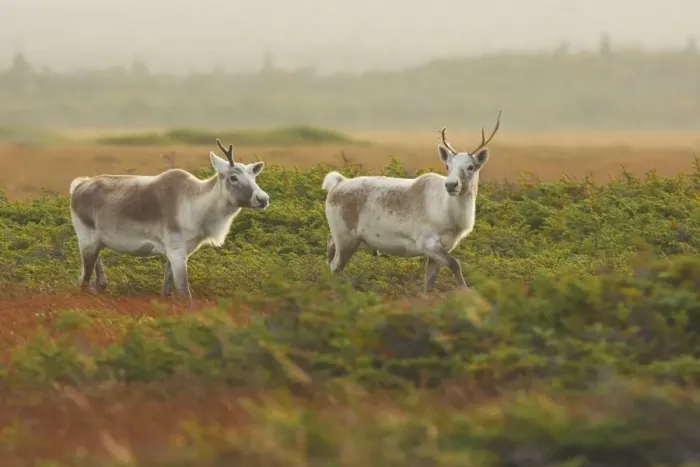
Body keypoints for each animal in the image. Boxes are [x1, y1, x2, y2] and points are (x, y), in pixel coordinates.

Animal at [68, 139, 270, 303]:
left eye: (254, 176)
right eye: (233, 177)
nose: (263, 199)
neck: (196, 205)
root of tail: (79, 186)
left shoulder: (179, 252)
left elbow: (166, 291)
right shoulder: (177, 252)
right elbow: (184, 294)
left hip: (97, 242)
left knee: (91, 275)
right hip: (86, 240)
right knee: (83, 281)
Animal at [321, 111, 501, 295]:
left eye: (471, 166)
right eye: (447, 166)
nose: (451, 185)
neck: (449, 214)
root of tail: (336, 184)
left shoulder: (443, 247)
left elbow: (429, 283)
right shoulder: (427, 242)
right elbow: (455, 264)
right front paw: (466, 292)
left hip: (354, 240)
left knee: (330, 243)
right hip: (346, 238)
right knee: (335, 266)